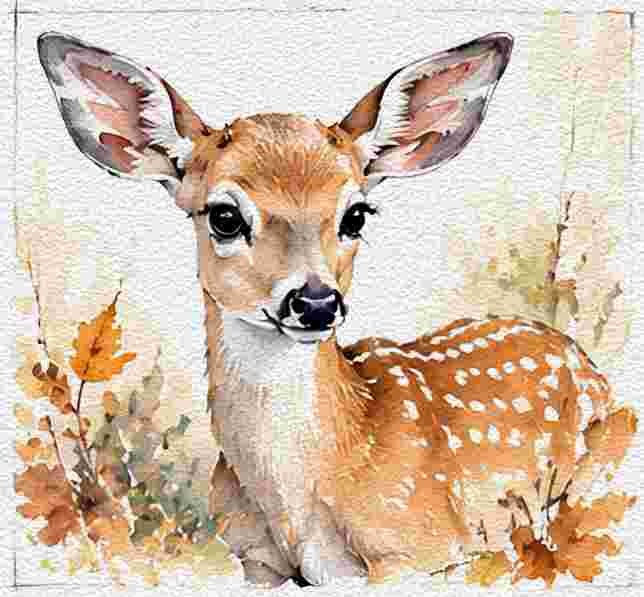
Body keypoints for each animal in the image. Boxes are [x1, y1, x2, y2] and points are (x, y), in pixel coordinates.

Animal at [38, 31, 637, 588]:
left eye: (357, 214)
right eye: (225, 216)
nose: (316, 301)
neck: (294, 503)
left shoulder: (421, 549)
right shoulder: (253, 560)